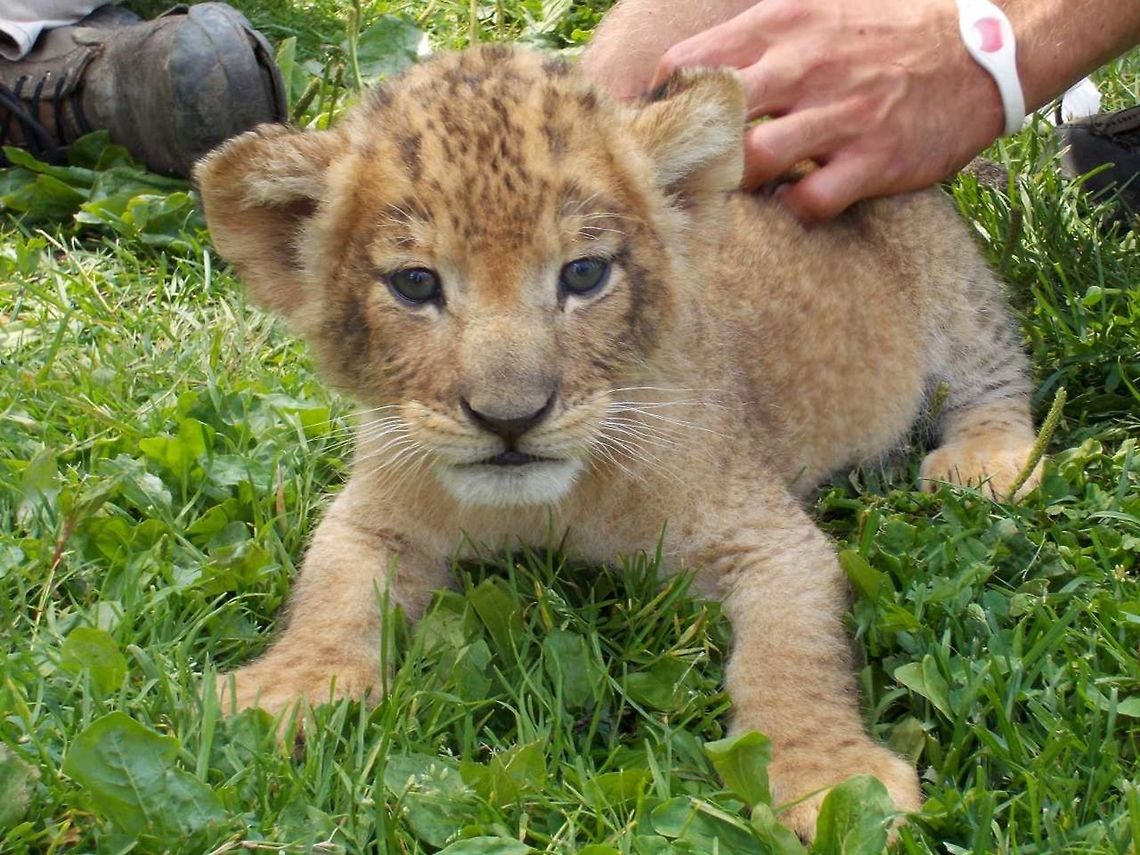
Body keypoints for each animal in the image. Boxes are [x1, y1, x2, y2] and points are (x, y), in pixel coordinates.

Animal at [194, 44, 1040, 840]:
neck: (549, 506)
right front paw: (287, 689)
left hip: (951, 282)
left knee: (996, 371)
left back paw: (989, 460)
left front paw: (830, 779)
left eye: (584, 274)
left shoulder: (765, 534)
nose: (510, 418)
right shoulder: (376, 512)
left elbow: (791, 653)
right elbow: (331, 587)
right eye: (415, 284)